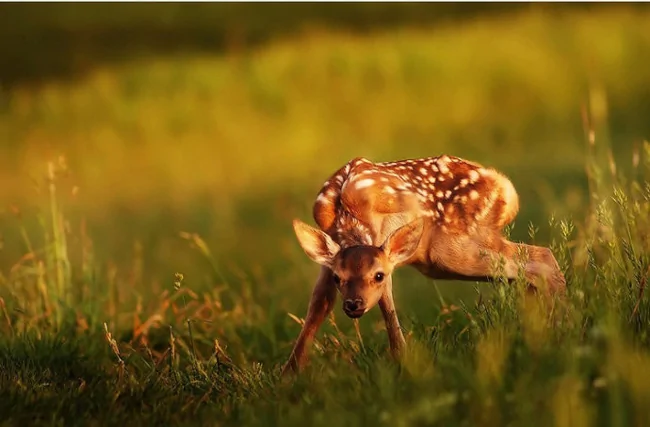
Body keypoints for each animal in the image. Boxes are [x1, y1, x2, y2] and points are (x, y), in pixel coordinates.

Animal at [282, 156, 560, 374]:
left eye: (379, 275)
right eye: (338, 278)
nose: (354, 304)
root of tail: (506, 189)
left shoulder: (385, 243)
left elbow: (387, 304)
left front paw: (402, 361)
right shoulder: (328, 263)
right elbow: (317, 306)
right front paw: (289, 376)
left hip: (449, 250)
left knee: (542, 258)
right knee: (532, 266)